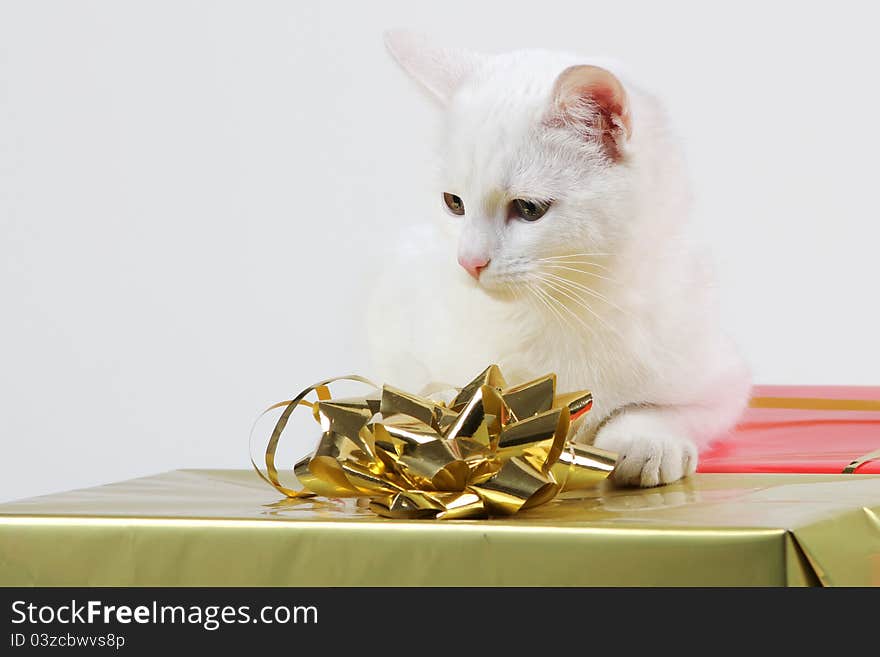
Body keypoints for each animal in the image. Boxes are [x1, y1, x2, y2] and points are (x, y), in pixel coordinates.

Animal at [364, 30, 748, 484]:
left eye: (529, 208)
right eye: (454, 203)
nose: (469, 261)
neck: (570, 303)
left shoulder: (722, 380)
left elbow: (665, 409)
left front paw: (647, 441)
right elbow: (417, 395)